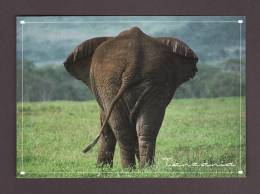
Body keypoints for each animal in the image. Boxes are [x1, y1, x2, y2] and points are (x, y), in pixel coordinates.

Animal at [64, 26, 198, 168]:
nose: (84, 150)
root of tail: (134, 60)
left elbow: (106, 124)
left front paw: (101, 168)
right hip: (153, 80)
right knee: (147, 128)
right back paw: (146, 168)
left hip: (110, 85)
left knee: (122, 129)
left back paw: (129, 169)